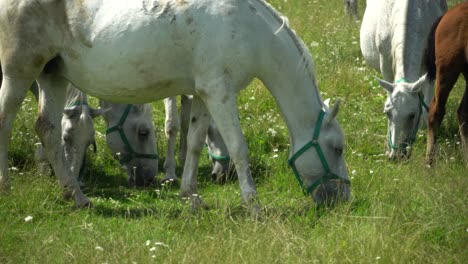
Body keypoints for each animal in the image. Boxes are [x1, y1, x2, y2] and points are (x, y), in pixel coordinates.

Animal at [0, 0, 350, 208]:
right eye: (337, 149)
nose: (343, 197)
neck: (248, 29)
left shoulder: (204, 94)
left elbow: (194, 142)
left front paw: (190, 195)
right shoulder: (221, 94)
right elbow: (239, 147)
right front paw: (253, 205)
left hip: (53, 75)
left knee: (47, 129)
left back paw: (76, 196)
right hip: (19, 72)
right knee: (6, 120)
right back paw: (6, 185)